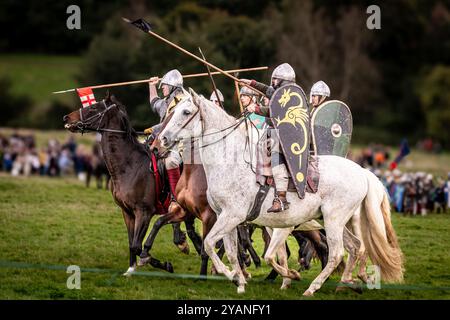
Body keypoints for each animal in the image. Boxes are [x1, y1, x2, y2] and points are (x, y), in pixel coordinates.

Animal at [159, 89, 404, 296]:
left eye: (186, 112)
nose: (162, 139)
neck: (231, 162)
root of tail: (362, 171)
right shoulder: (224, 217)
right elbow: (229, 251)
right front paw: (239, 280)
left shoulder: (233, 216)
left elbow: (210, 244)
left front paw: (233, 275)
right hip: (331, 220)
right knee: (355, 247)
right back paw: (345, 283)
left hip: (334, 220)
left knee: (336, 253)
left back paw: (314, 287)